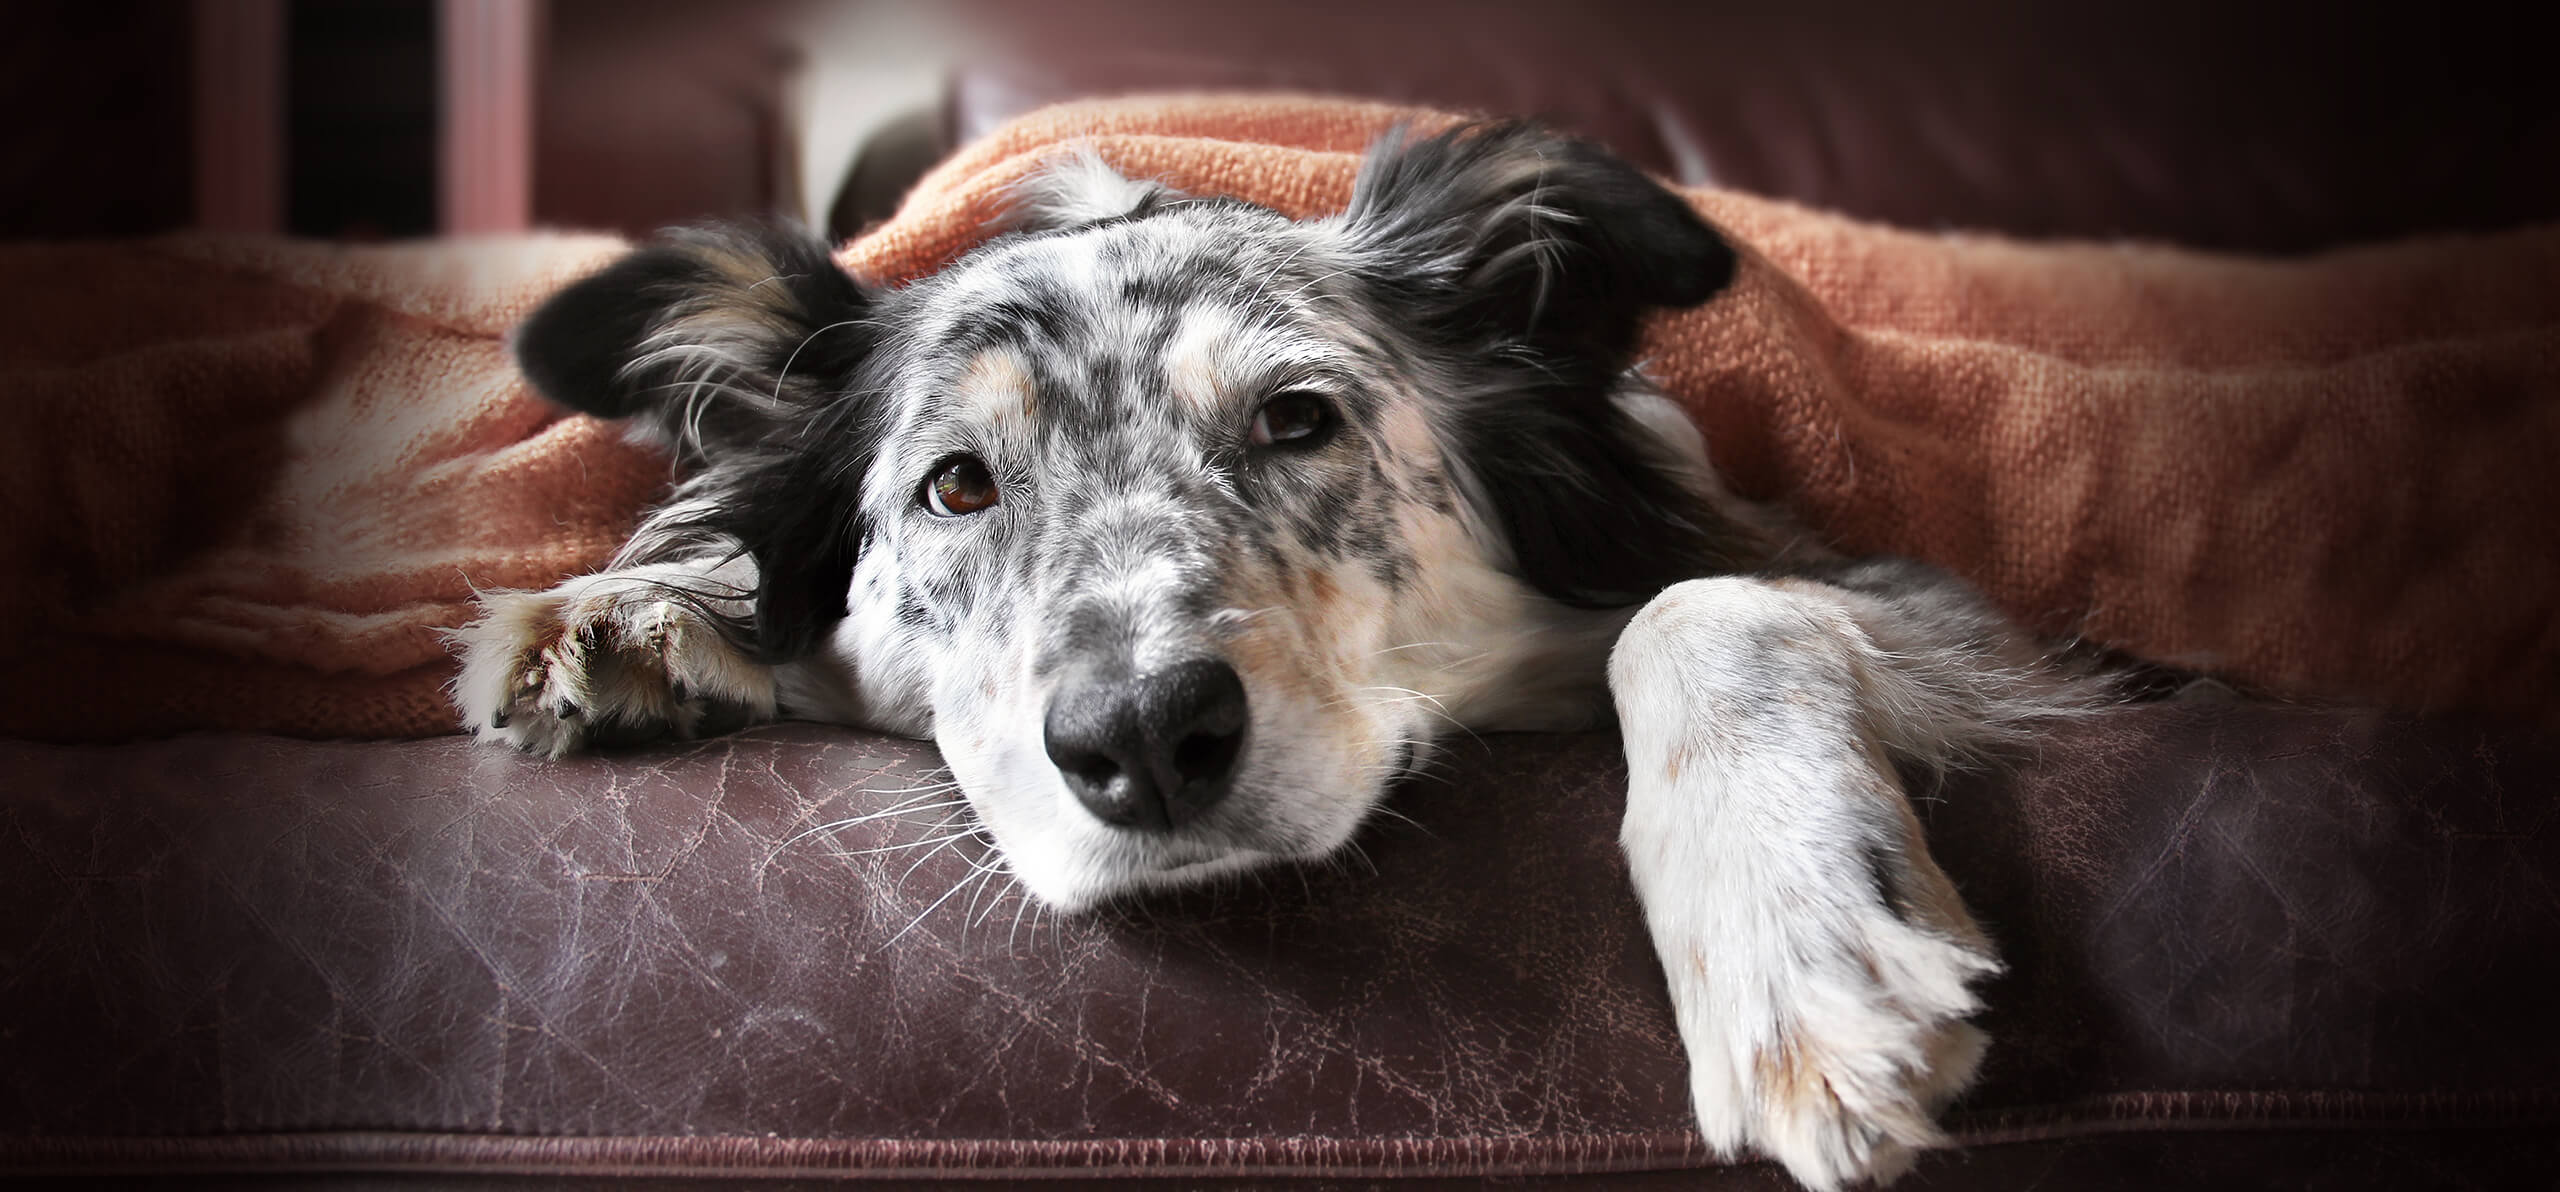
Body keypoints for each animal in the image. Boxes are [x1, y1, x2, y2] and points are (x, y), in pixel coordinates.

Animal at [455, 125, 2099, 1186]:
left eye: (1297, 418)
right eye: (957, 487)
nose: (1142, 739)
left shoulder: (1928, 602)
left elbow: (1703, 604)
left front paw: (1797, 946)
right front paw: (639, 610)